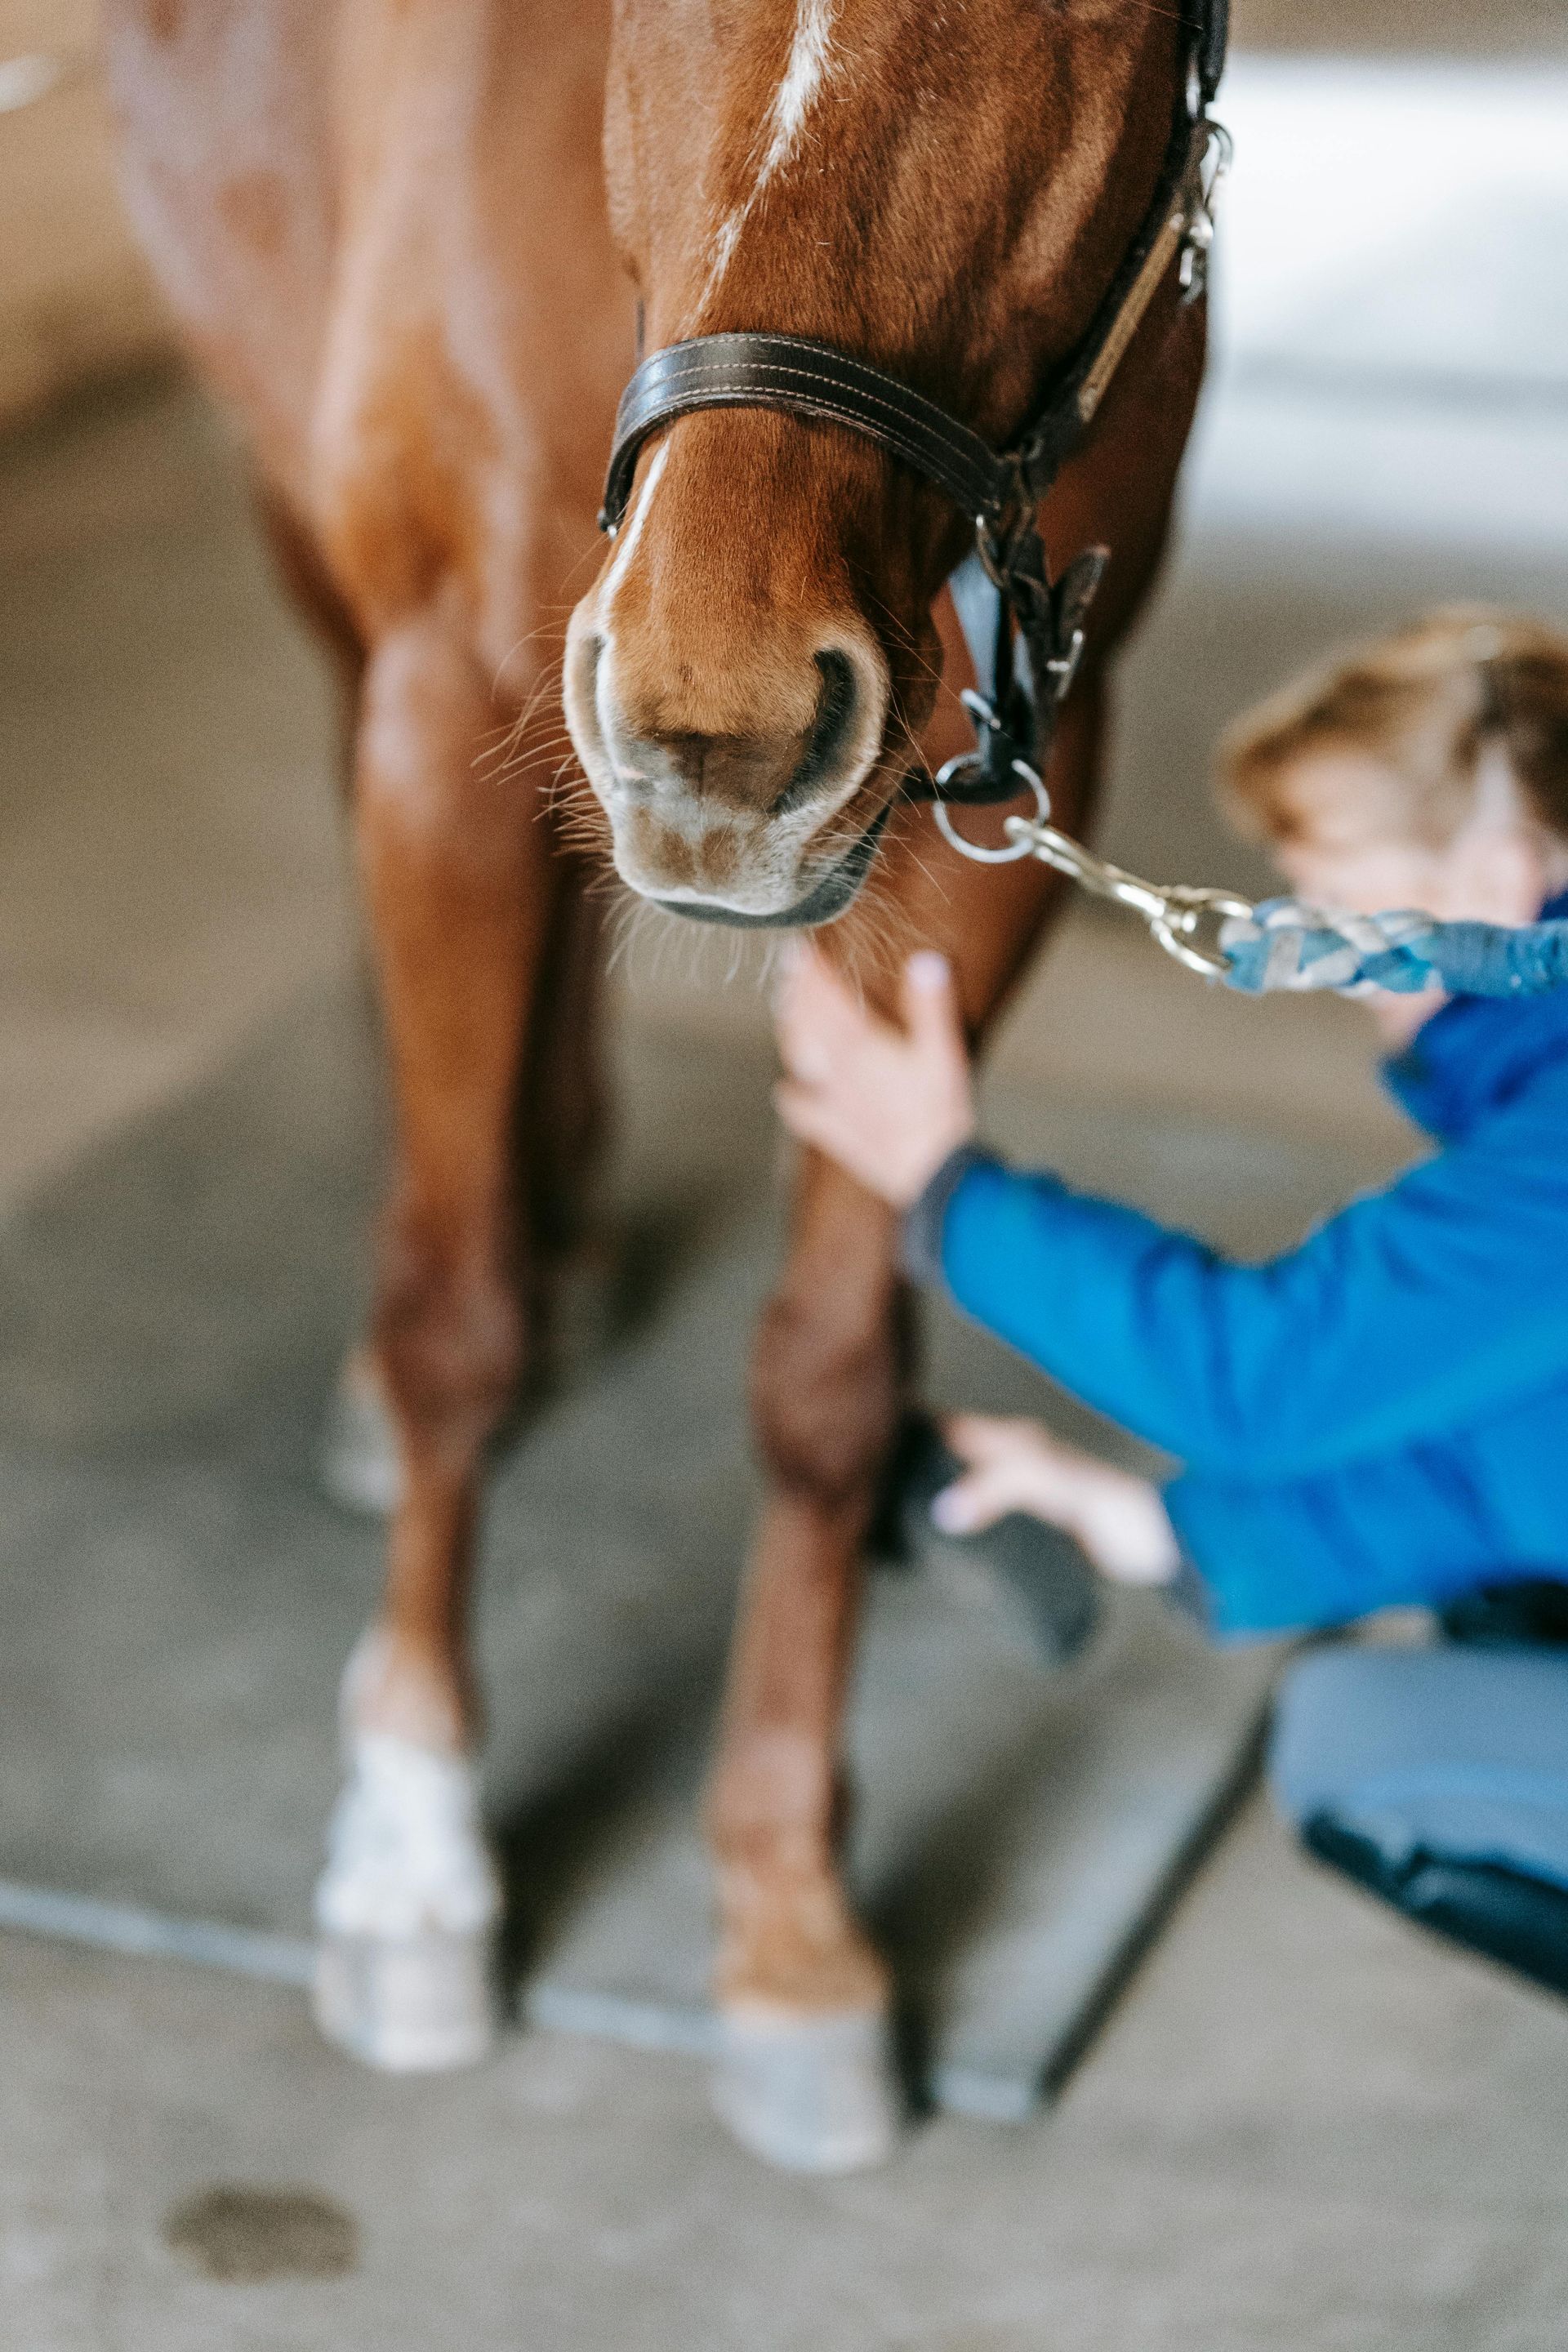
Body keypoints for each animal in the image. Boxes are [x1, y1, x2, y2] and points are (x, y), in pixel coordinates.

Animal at [103, 0, 1218, 2172]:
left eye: (1090, 22)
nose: (720, 727)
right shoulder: (446, 706)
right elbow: (448, 1322)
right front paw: (416, 1853)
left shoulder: (992, 806)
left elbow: (826, 1382)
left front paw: (788, 1916)